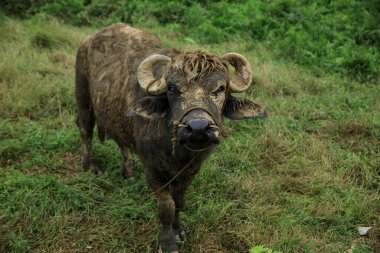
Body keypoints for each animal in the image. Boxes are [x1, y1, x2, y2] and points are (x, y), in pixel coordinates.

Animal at [75, 22, 268, 252]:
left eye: (220, 88)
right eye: (172, 88)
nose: (198, 127)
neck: (177, 153)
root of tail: (89, 39)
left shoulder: (191, 171)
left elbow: (179, 201)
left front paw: (179, 230)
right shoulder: (152, 169)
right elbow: (166, 206)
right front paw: (167, 242)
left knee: (121, 141)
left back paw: (128, 172)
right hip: (83, 96)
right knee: (85, 130)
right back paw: (88, 167)